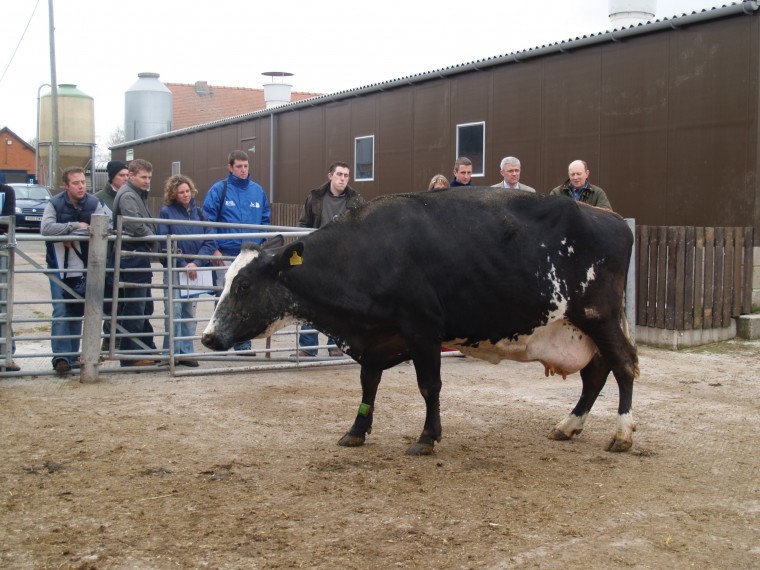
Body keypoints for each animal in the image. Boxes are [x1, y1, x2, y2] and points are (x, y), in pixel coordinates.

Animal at [203, 189, 640, 454]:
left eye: (243, 285)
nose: (207, 337)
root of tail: (612, 218)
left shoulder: (423, 328)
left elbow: (429, 386)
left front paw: (427, 437)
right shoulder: (377, 338)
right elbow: (368, 383)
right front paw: (356, 431)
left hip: (598, 315)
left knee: (623, 365)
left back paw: (621, 432)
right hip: (579, 326)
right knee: (596, 373)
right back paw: (569, 425)